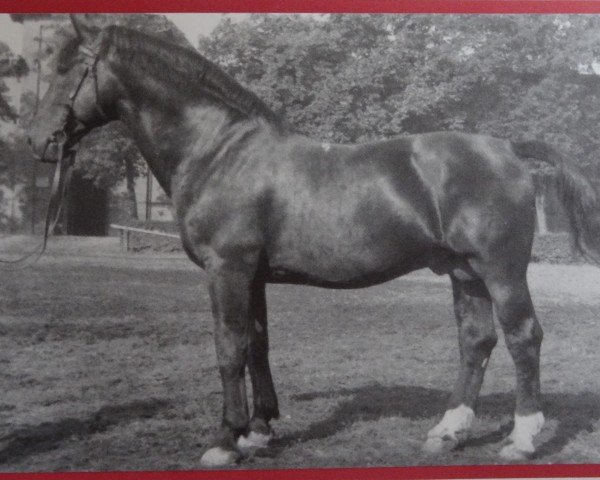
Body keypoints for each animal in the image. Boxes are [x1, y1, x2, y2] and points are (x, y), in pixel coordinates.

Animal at [27, 15, 600, 464]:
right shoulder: (253, 275)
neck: (219, 151)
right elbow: (257, 344)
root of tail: (507, 148)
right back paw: (447, 432)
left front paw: (223, 440)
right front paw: (258, 432)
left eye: (67, 69)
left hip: (500, 270)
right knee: (476, 341)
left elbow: (228, 346)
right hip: (464, 271)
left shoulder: (227, 269)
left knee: (523, 337)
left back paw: (522, 439)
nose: (37, 141)